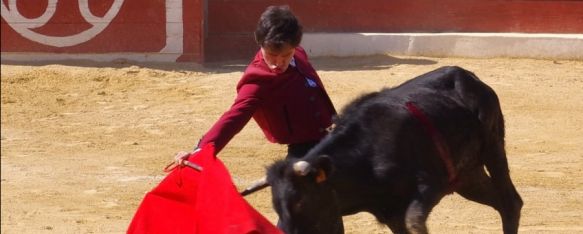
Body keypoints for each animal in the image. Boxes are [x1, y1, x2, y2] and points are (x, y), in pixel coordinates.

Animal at [242, 66, 524, 234]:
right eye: (275, 205)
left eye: (300, 201)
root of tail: (469, 76)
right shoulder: (389, 213)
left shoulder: (430, 185)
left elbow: (415, 222)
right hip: (467, 176)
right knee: (500, 201)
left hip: (493, 146)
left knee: (510, 202)